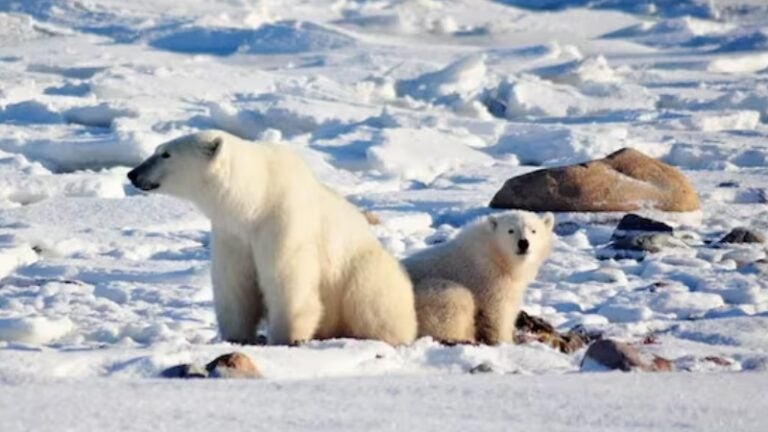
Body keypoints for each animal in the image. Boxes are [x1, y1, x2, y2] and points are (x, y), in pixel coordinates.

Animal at [127, 130, 414, 346]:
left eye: (166, 154)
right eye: (157, 149)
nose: (133, 174)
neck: (257, 198)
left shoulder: (282, 221)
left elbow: (287, 278)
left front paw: (287, 338)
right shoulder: (232, 234)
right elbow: (234, 283)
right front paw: (236, 337)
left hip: (362, 271)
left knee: (373, 302)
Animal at [404, 211, 556, 346]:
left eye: (533, 230)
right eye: (510, 230)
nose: (523, 243)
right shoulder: (489, 278)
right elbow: (498, 312)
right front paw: (505, 341)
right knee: (456, 300)